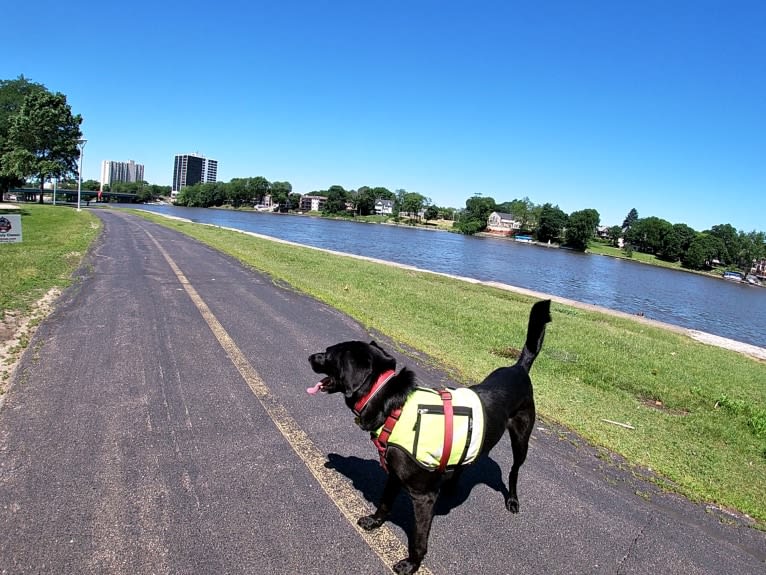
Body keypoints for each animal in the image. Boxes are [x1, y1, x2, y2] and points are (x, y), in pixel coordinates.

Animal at [306, 300, 552, 572]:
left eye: (328, 353)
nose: (310, 357)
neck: (390, 402)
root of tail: (519, 368)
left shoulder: (423, 496)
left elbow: (419, 538)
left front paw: (411, 564)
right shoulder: (394, 475)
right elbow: (384, 502)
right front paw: (374, 521)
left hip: (521, 440)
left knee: (514, 471)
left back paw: (513, 500)